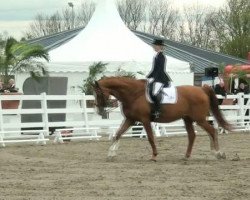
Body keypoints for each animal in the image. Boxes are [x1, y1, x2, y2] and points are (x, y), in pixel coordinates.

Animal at [93, 76, 231, 161]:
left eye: (98, 93)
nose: (99, 111)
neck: (134, 94)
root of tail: (202, 89)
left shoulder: (145, 120)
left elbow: (150, 138)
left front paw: (154, 156)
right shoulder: (130, 120)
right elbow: (117, 135)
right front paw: (111, 154)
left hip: (199, 119)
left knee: (212, 131)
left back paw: (218, 153)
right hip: (188, 119)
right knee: (193, 135)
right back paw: (187, 156)